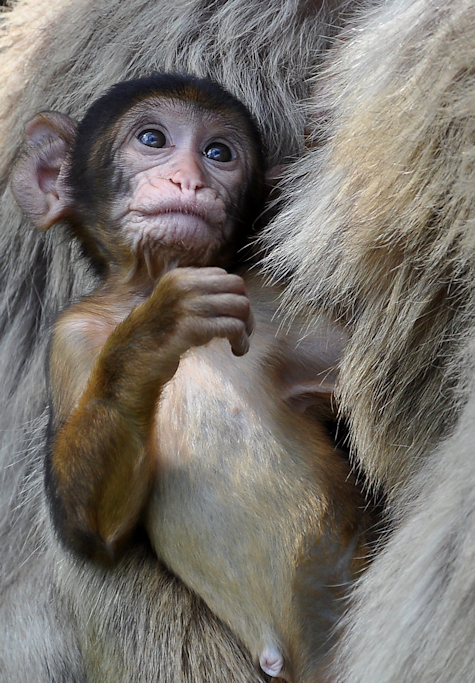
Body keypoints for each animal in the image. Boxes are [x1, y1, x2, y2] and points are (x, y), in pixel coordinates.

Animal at [13, 75, 374, 683]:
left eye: (219, 152)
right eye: (152, 139)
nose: (189, 178)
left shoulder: (275, 312)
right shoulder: (71, 338)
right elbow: (92, 530)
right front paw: (153, 334)